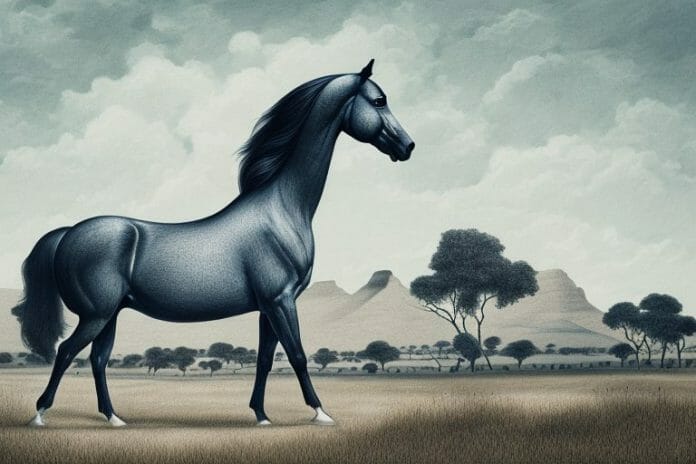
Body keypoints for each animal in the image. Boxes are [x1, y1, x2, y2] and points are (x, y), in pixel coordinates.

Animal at [12, 59, 415, 427]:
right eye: (379, 101)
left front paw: (261, 415)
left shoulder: (268, 306)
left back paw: (114, 418)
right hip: (96, 315)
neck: (281, 208)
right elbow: (298, 355)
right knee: (66, 352)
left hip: (109, 314)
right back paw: (40, 415)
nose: (408, 146)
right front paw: (320, 413)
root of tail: (69, 232)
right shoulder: (281, 301)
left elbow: (266, 360)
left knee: (97, 359)